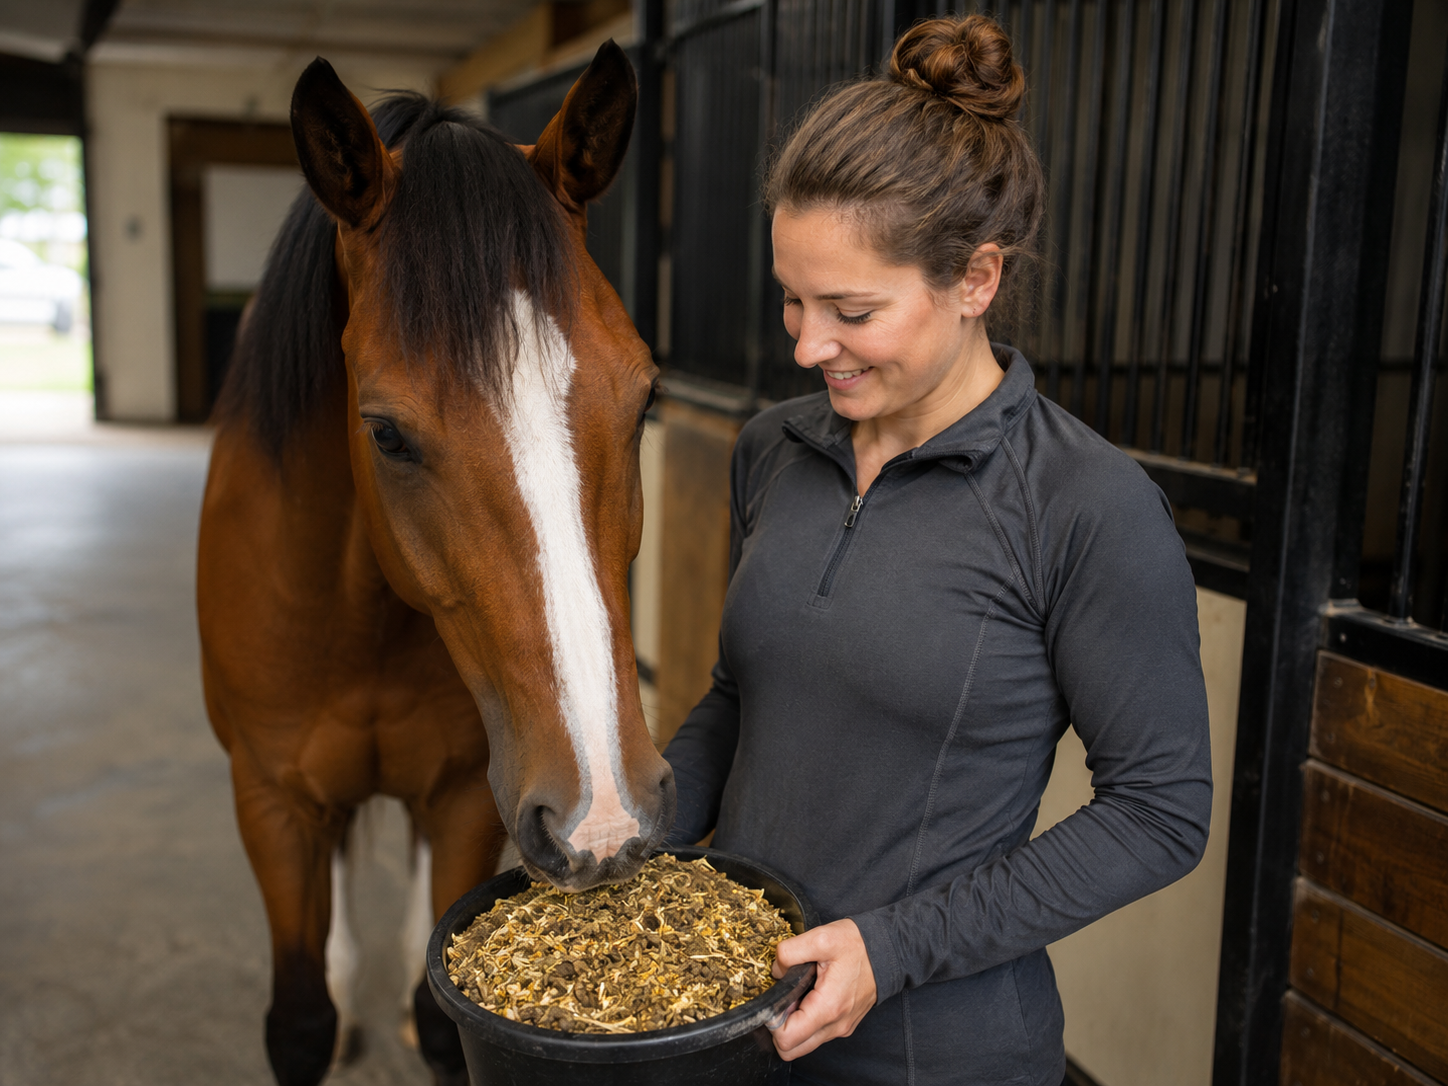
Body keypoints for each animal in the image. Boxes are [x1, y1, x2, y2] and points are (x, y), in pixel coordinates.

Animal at [196, 44, 675, 1086]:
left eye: (646, 398)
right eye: (385, 432)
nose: (606, 814)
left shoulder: (464, 798)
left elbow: (436, 1000)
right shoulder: (271, 802)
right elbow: (300, 1021)